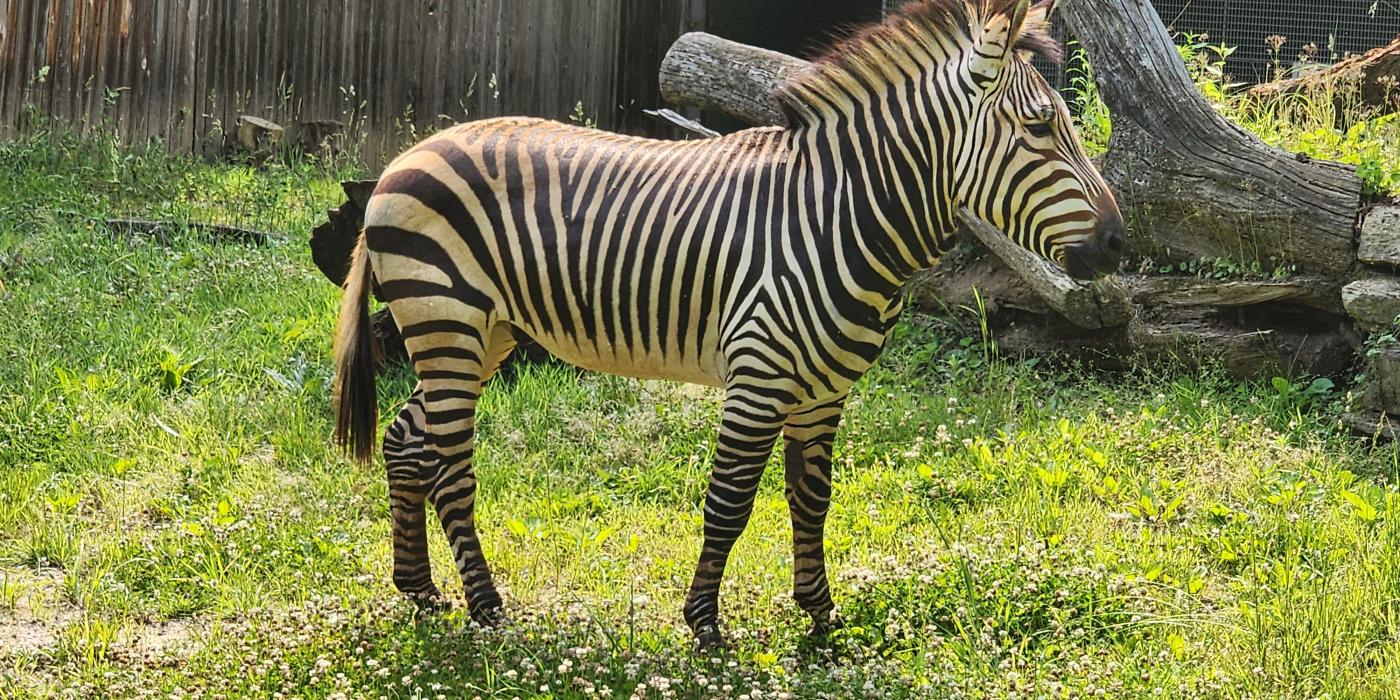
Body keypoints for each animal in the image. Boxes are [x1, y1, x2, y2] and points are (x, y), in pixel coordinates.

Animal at [336, 0, 1125, 644]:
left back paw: (421, 591)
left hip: (482, 334)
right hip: (447, 321)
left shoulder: (825, 391)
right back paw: (486, 608)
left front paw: (820, 618)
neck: (841, 216)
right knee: (449, 466)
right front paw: (706, 625)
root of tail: (407, 155)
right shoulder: (758, 377)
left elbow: (812, 501)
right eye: (1040, 127)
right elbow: (731, 502)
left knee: (406, 443)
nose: (1118, 243)